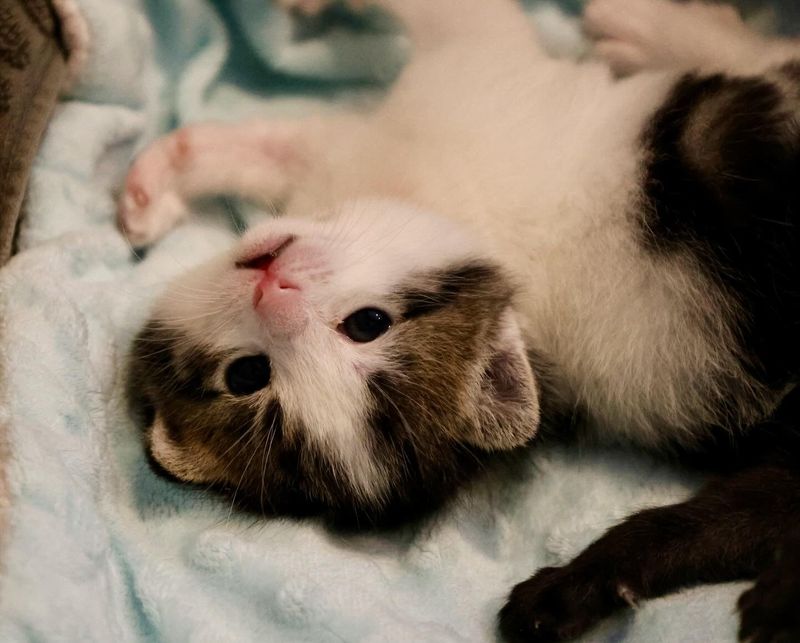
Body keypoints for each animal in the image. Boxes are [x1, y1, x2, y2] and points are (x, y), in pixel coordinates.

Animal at [120, 2, 800, 640]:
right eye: (248, 375)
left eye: (367, 324)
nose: (274, 293)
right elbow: (272, 150)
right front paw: (158, 185)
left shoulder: (469, 76)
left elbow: (445, 15)